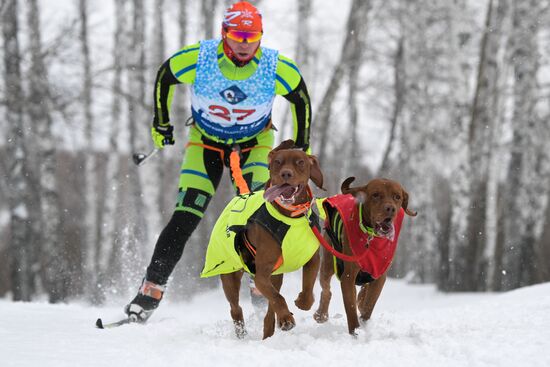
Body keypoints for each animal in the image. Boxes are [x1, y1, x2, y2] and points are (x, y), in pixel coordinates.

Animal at [202, 140, 324, 340]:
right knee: (236, 307)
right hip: (230, 275)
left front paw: (300, 302)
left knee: (269, 309)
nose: (286, 174)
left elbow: (307, 292)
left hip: (276, 275)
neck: (291, 218)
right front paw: (286, 318)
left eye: (300, 162)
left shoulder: (312, 259)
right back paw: (244, 333)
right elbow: (277, 298)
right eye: (278, 162)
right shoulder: (261, 275)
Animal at [312, 178, 416, 336]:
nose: (390, 209)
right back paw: (321, 314)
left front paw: (364, 320)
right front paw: (355, 332)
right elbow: (350, 308)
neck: (371, 237)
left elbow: (369, 304)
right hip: (328, 262)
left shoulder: (379, 274)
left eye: (397, 197)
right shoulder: (348, 276)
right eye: (375, 195)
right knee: (326, 289)